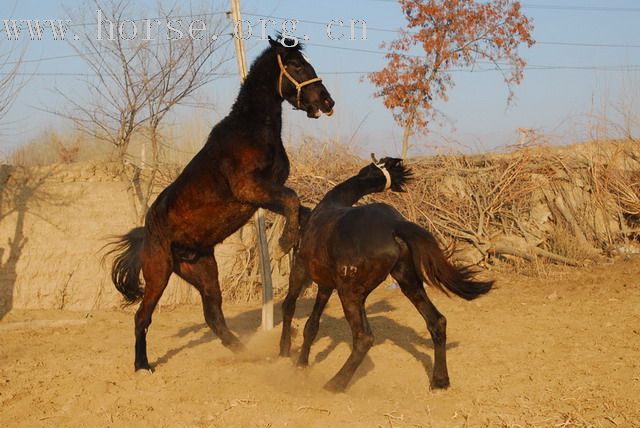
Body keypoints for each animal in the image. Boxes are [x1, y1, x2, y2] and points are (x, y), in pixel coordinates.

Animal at [108, 36, 336, 372]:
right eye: (295, 65)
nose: (326, 101)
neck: (252, 130)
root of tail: (146, 232)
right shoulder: (250, 189)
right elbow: (293, 200)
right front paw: (284, 244)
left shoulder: (266, 193)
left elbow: (299, 208)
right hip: (158, 273)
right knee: (142, 316)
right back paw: (142, 366)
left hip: (203, 271)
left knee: (214, 316)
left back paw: (248, 354)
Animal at [278, 156, 492, 392]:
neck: (329, 205)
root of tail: (395, 224)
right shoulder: (327, 284)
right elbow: (311, 325)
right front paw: (301, 364)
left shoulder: (301, 268)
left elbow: (290, 306)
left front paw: (285, 351)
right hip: (407, 283)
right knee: (437, 321)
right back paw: (440, 380)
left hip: (349, 293)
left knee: (364, 338)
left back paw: (335, 383)